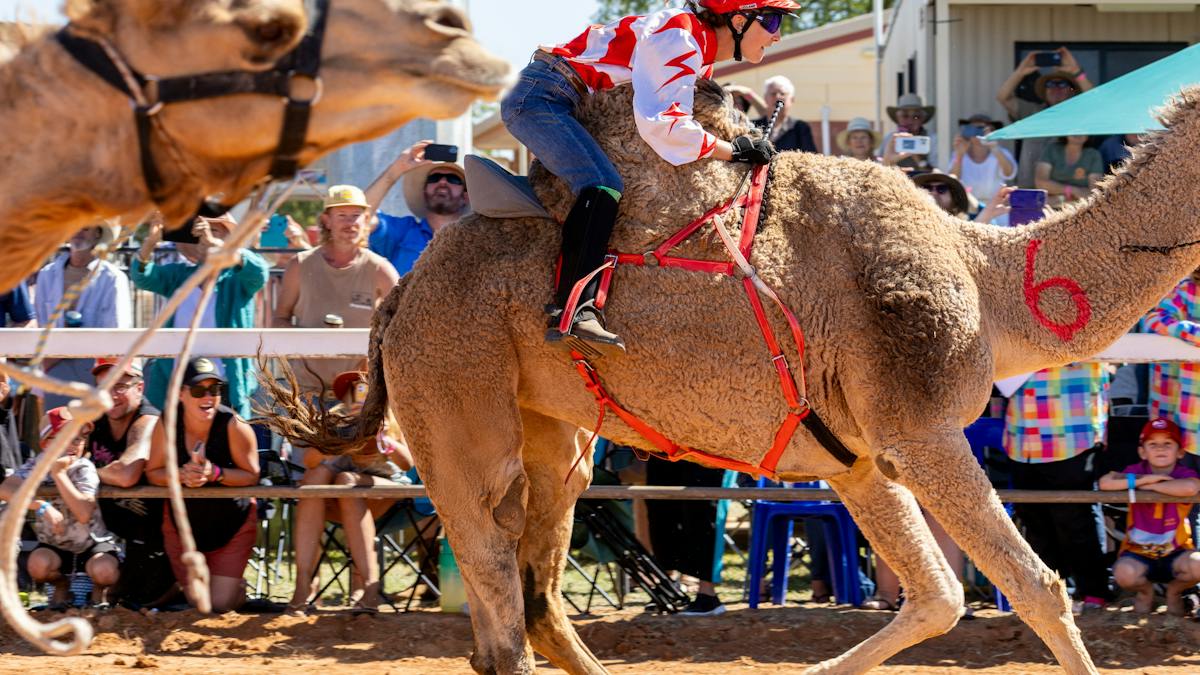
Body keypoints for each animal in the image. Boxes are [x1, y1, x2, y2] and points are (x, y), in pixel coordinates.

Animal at [268, 75, 1200, 675]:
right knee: (497, 614)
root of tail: (402, 295)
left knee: (540, 591)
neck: (994, 279)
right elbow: (1038, 590)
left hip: (556, 434)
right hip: (455, 396)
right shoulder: (922, 429)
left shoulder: (859, 456)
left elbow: (936, 596)